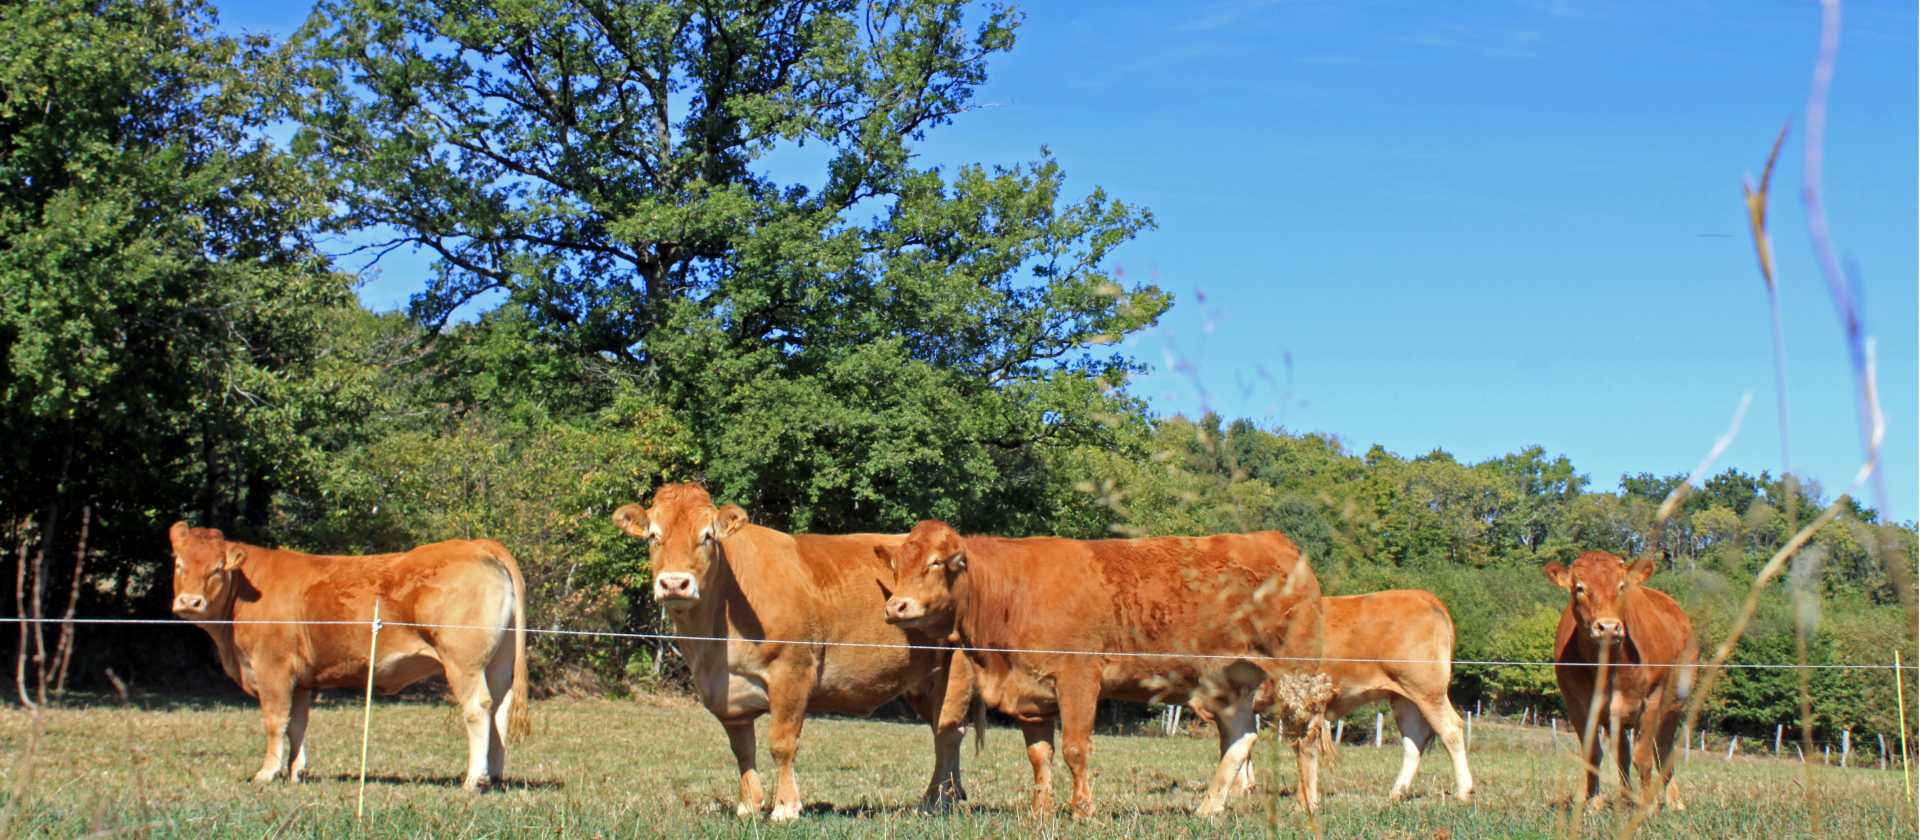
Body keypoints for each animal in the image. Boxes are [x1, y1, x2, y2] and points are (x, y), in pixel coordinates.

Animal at [167, 522, 530, 790]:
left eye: (217, 570)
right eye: (179, 564)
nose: (189, 602)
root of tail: (478, 545)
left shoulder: (273, 669)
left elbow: (275, 721)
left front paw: (267, 773)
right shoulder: (302, 681)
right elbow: (297, 724)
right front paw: (296, 772)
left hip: (462, 662)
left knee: (478, 709)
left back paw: (473, 779)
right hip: (498, 663)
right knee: (499, 709)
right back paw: (495, 776)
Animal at [611, 484, 975, 821]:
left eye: (707, 536)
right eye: (654, 536)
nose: (675, 583)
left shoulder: (792, 670)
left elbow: (781, 744)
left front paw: (785, 807)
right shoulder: (727, 695)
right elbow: (742, 749)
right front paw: (749, 805)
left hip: (956, 668)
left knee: (947, 732)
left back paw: (936, 801)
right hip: (924, 682)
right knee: (945, 733)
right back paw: (949, 795)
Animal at [877, 519, 1328, 819]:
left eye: (938, 563)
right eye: (897, 566)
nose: (896, 606)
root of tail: (1275, 541)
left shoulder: (1078, 677)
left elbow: (1075, 749)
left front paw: (1082, 811)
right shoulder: (1032, 694)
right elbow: (1039, 755)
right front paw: (1041, 812)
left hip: (1297, 673)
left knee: (1304, 736)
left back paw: (1307, 806)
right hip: (1231, 681)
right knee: (1240, 738)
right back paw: (1207, 809)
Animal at [1544, 551, 1698, 812]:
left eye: (1621, 586)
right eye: (1579, 587)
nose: (1608, 626)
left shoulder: (1652, 700)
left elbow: (1643, 757)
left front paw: (1648, 805)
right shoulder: (1577, 705)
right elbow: (1593, 754)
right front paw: (1593, 803)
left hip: (1674, 705)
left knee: (1662, 749)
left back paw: (1673, 801)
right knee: (1623, 754)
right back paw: (1626, 798)